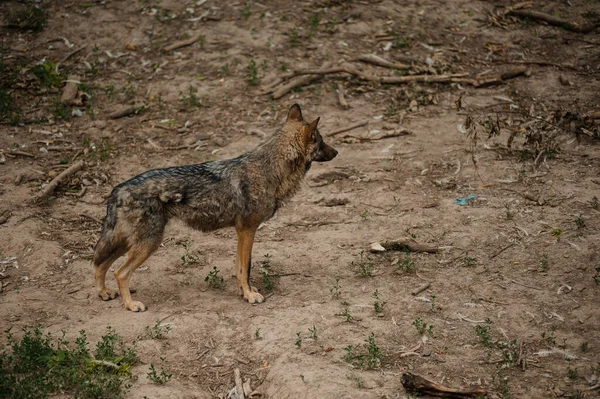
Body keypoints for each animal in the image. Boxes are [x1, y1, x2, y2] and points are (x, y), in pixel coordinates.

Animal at [92, 104, 338, 312]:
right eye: (321, 141)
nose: (337, 152)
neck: (270, 171)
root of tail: (118, 189)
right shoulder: (248, 230)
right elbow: (246, 268)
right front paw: (250, 296)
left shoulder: (242, 231)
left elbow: (239, 268)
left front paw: (245, 292)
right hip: (148, 244)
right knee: (119, 272)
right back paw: (131, 305)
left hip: (128, 243)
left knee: (101, 264)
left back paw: (104, 293)